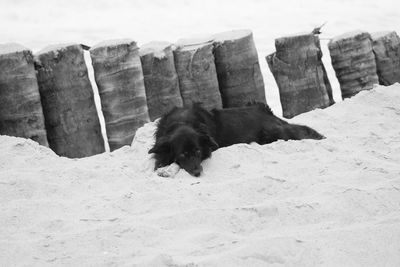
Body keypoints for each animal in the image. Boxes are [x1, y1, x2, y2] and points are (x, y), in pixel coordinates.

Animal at [148, 103, 324, 178]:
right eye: (183, 154)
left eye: (197, 151)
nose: (198, 173)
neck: (181, 123)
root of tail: (267, 112)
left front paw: (167, 170)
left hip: (273, 134)